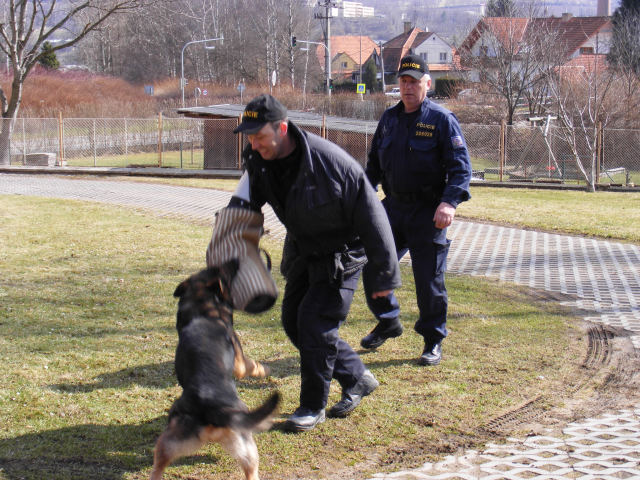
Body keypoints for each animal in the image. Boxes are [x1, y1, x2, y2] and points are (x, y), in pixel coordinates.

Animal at [152, 260, 280, 480]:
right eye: (222, 271)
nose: (235, 260)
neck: (201, 305)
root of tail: (211, 408)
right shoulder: (239, 362)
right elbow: (251, 365)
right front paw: (264, 369)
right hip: (247, 443)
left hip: (169, 445)